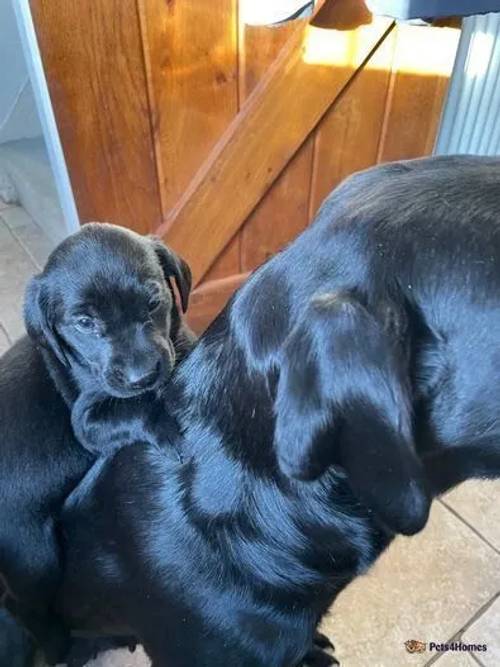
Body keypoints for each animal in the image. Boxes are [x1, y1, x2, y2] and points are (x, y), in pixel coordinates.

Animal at [0, 223, 193, 664]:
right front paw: (166, 425)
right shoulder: (88, 420)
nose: (143, 376)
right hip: (34, 557)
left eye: (153, 301)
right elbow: (137, 410)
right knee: (27, 611)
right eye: (84, 323)